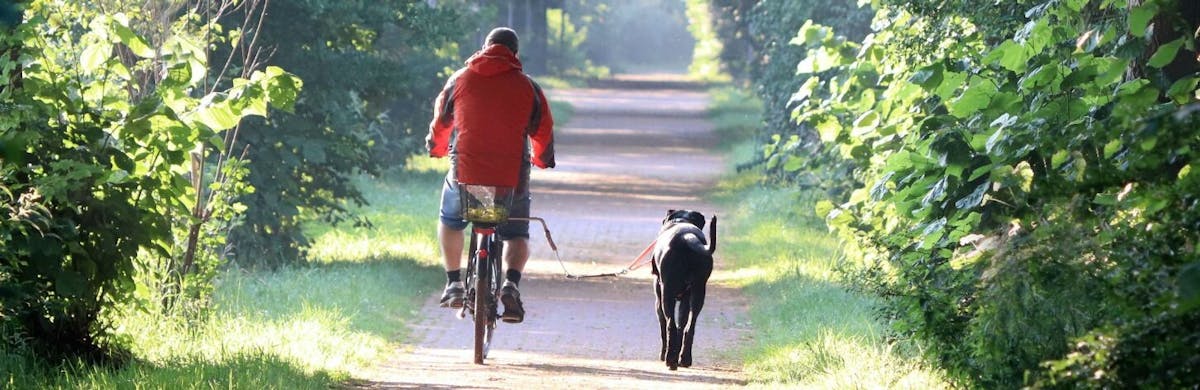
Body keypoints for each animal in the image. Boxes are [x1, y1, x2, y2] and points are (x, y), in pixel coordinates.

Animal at [652, 207, 715, 369]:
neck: (681, 220)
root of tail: (687, 238)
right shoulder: (686, 300)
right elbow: (682, 324)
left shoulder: (658, 300)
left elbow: (664, 328)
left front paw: (663, 355)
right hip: (698, 292)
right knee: (688, 328)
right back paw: (685, 359)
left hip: (666, 295)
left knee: (671, 326)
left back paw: (670, 360)